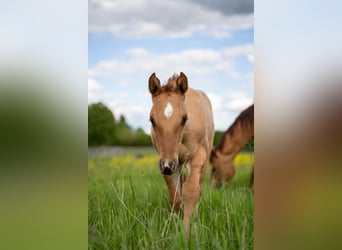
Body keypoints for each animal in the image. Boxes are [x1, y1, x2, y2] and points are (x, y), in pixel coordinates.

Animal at [148, 72, 214, 240]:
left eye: (184, 118)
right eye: (151, 119)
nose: (167, 165)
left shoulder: (197, 156)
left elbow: (191, 191)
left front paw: (186, 234)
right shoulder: (168, 162)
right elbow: (175, 197)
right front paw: (175, 225)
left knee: (199, 187)